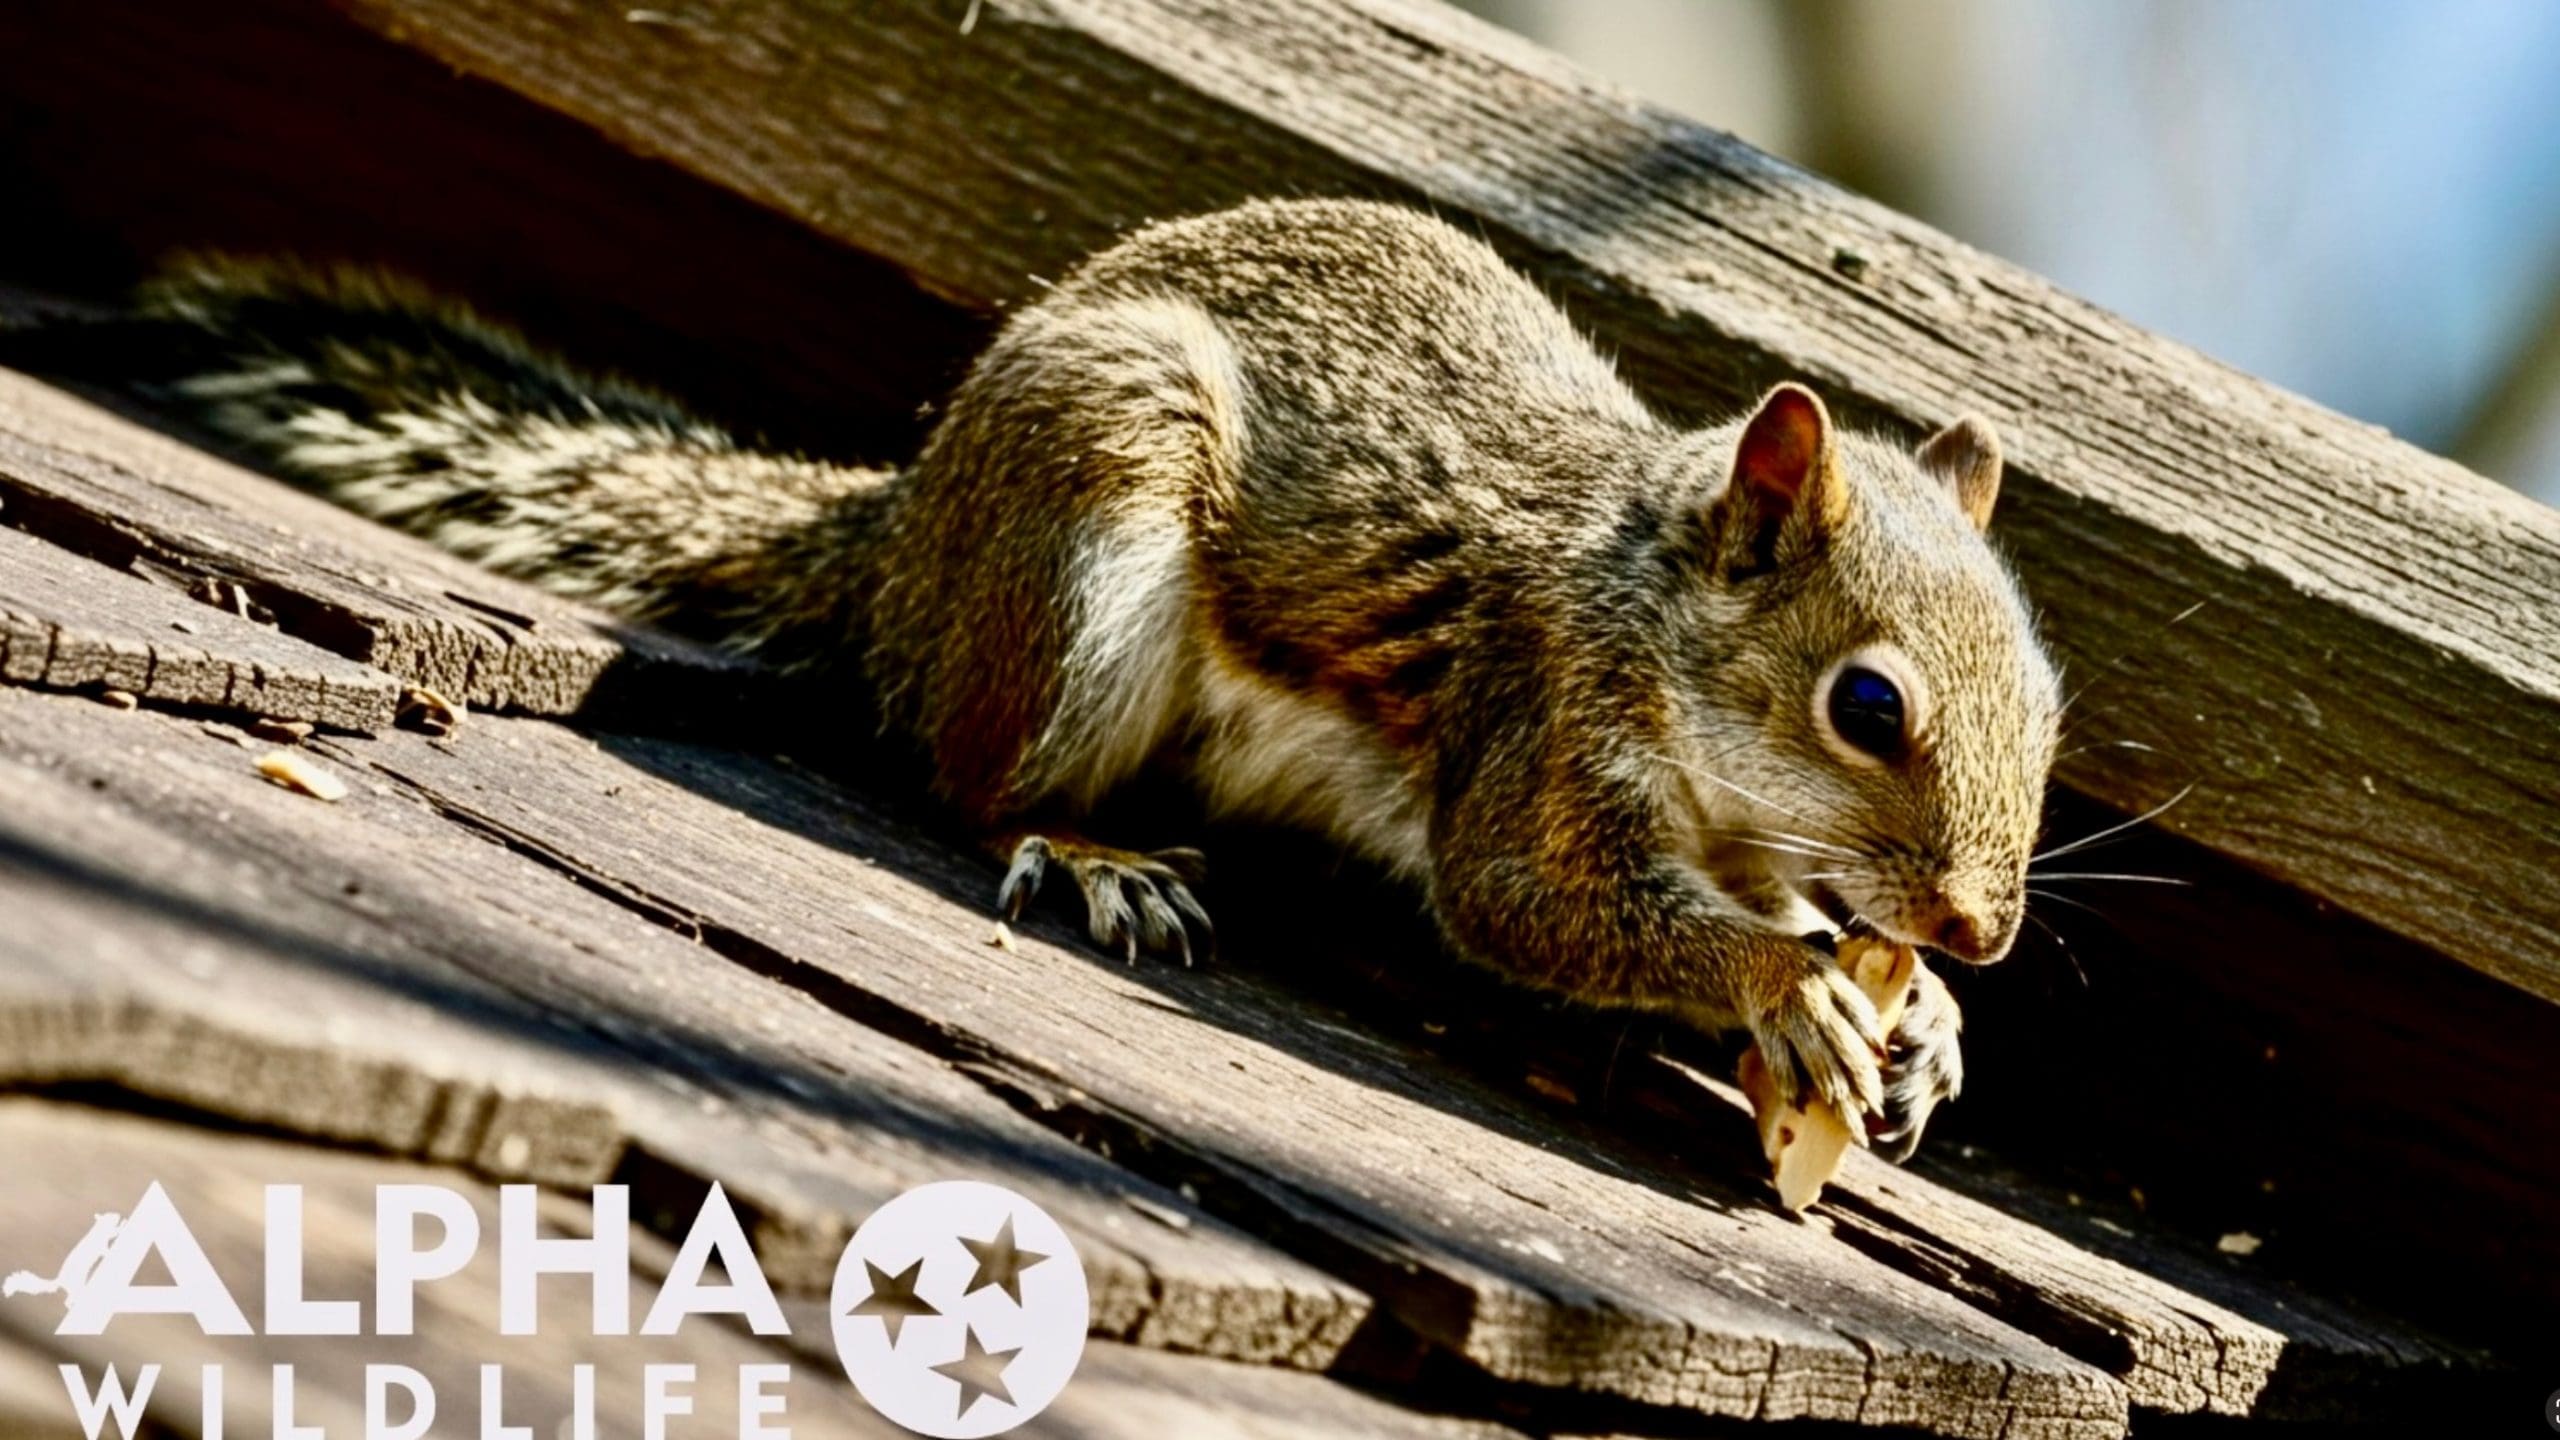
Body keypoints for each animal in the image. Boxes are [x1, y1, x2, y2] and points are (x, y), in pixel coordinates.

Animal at [16, 199, 2062, 1157]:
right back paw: (1091, 858)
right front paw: (1781, 989)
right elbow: (1527, 908)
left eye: (2049, 712)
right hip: (1090, 514)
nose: (1979, 930)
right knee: (964, 770)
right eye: (1867, 707)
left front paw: (1931, 1032)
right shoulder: (1535, 724)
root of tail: (905, 544)